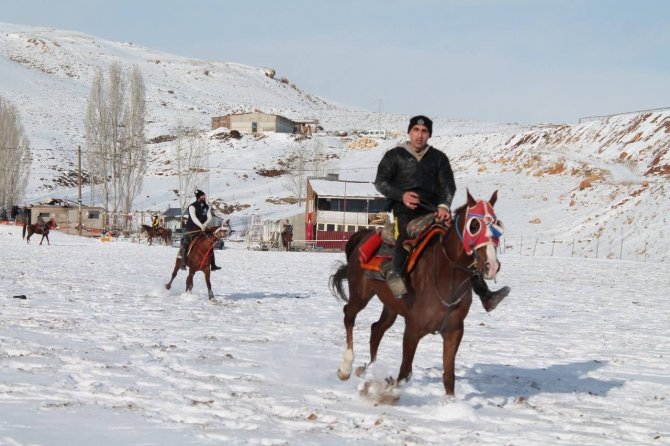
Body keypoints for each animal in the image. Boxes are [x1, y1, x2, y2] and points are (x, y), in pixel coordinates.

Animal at [330, 191, 504, 398]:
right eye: (474, 226)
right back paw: (345, 368)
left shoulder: (454, 331)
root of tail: (364, 236)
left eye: (497, 223)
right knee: (349, 315)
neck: (446, 276)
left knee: (377, 329)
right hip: (360, 294)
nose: (492, 266)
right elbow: (404, 373)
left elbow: (449, 376)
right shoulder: (413, 329)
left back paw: (369, 369)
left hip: (390, 306)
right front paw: (387, 392)